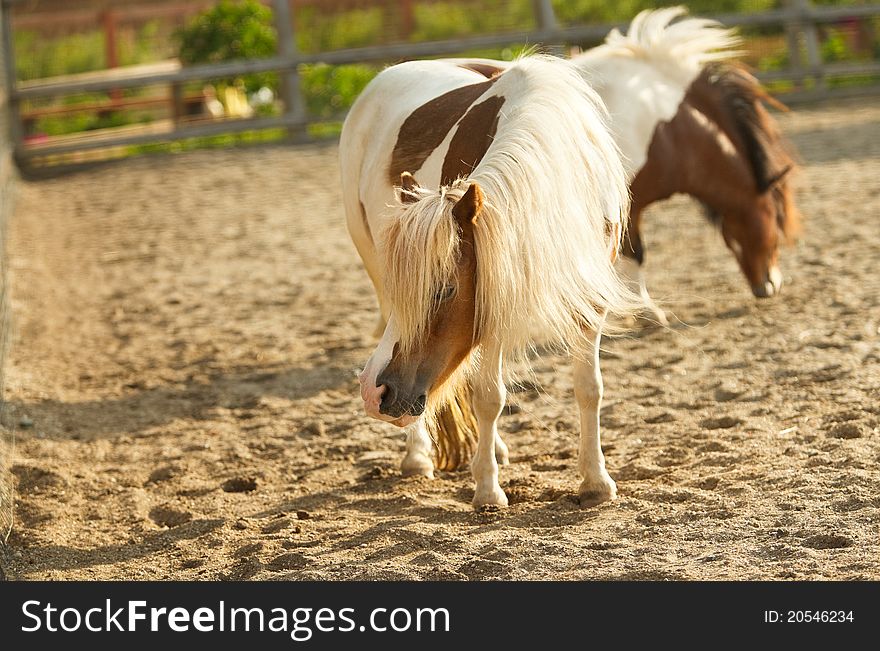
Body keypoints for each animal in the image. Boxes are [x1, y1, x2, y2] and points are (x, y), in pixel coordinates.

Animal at [338, 54, 640, 510]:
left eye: (445, 289)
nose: (375, 394)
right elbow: (488, 397)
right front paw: (487, 489)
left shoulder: (588, 300)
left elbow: (589, 387)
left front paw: (596, 481)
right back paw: (420, 455)